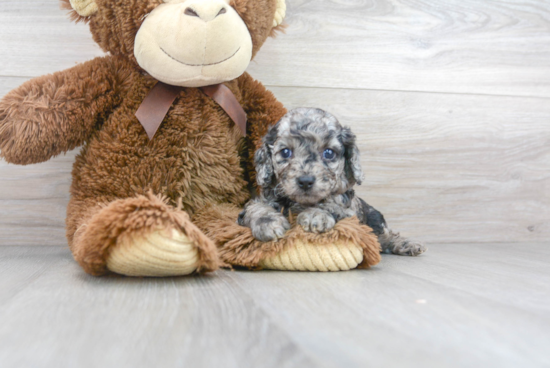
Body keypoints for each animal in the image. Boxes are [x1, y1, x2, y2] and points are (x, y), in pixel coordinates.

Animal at [238, 107, 426, 256]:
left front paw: (315, 215)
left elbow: (330, 206)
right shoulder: (256, 203)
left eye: (328, 153)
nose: (305, 181)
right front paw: (269, 225)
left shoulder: (349, 213)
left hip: (376, 220)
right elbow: (256, 208)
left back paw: (407, 244)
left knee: (386, 236)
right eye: (285, 152)